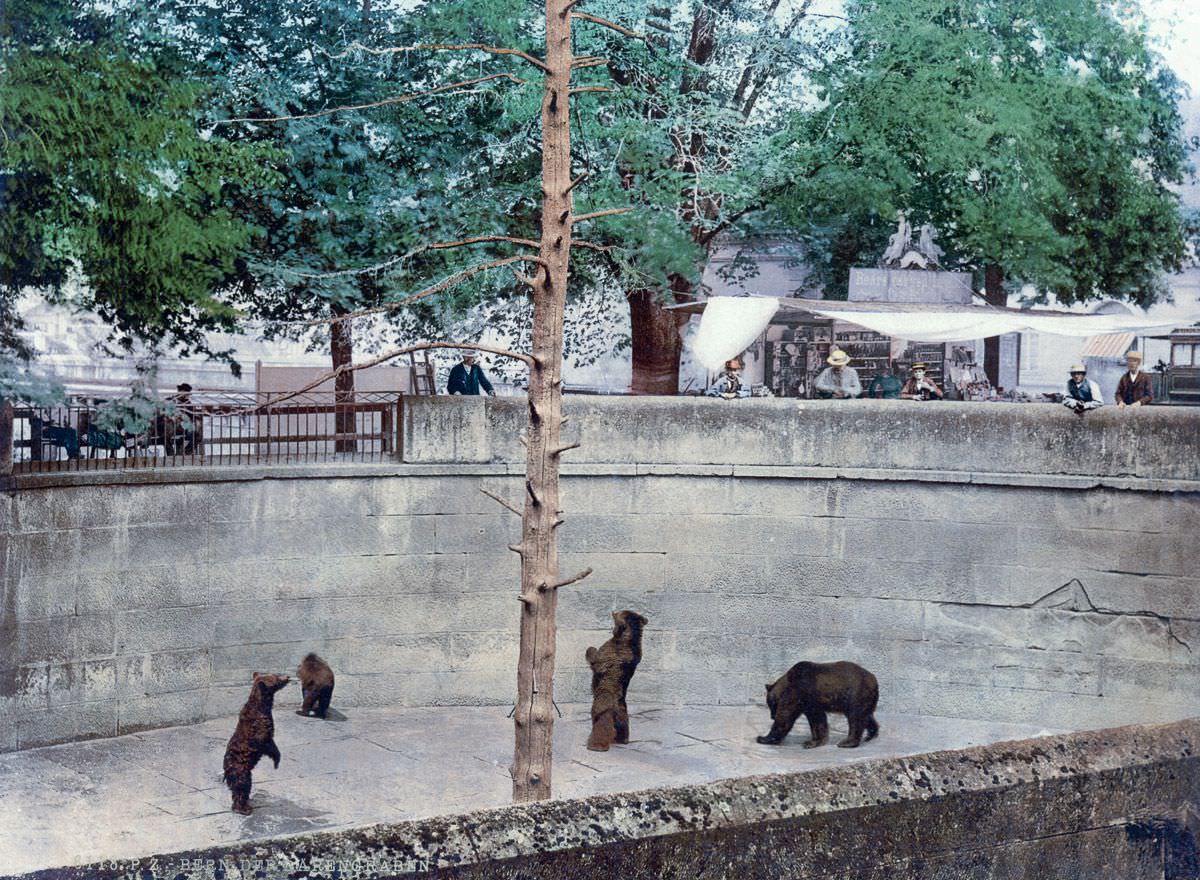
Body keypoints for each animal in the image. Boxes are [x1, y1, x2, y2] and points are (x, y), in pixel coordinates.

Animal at [220, 672, 288, 811]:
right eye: (276, 677)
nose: (288, 677)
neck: (262, 704)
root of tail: (226, 771)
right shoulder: (260, 728)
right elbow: (268, 744)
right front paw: (276, 761)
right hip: (241, 771)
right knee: (242, 787)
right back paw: (244, 808)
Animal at [583, 609, 648, 749]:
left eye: (617, 616)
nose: (613, 611)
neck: (630, 640)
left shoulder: (606, 654)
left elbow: (595, 659)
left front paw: (590, 648)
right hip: (622, 715)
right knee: (623, 725)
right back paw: (622, 739)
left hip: (602, 706)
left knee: (601, 724)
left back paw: (596, 745)